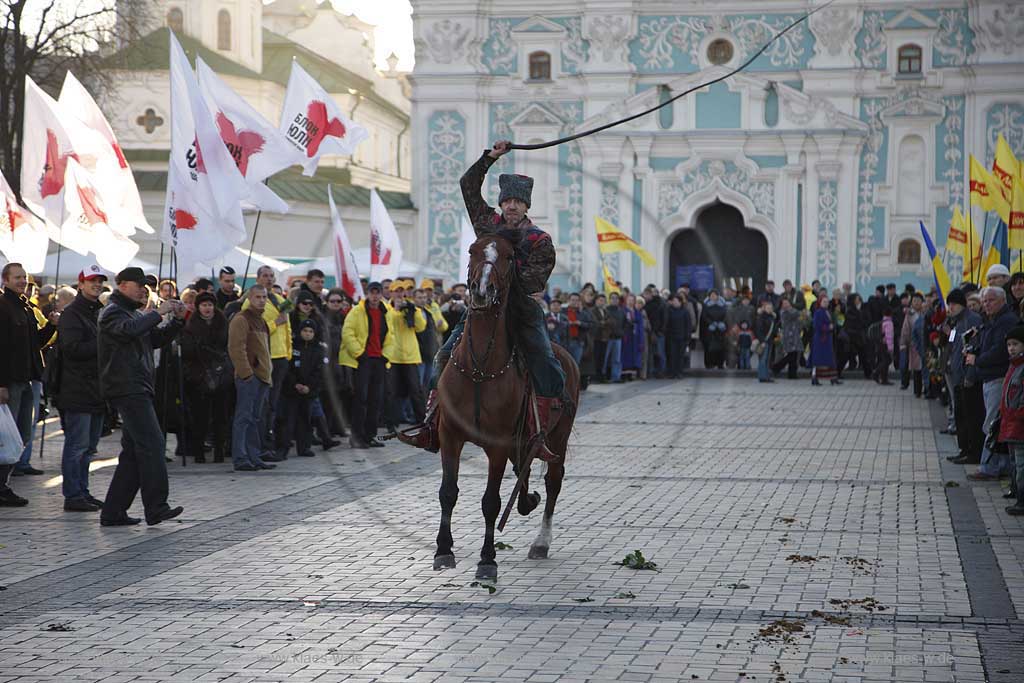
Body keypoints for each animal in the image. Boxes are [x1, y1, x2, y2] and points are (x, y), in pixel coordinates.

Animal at [430, 235, 577, 581]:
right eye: (471, 251)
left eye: (510, 257)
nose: (481, 291)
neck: (480, 370)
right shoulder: (450, 435)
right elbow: (448, 492)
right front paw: (443, 551)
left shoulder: (496, 445)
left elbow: (491, 502)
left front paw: (487, 561)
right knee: (524, 470)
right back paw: (527, 502)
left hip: (557, 438)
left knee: (553, 481)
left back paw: (541, 542)